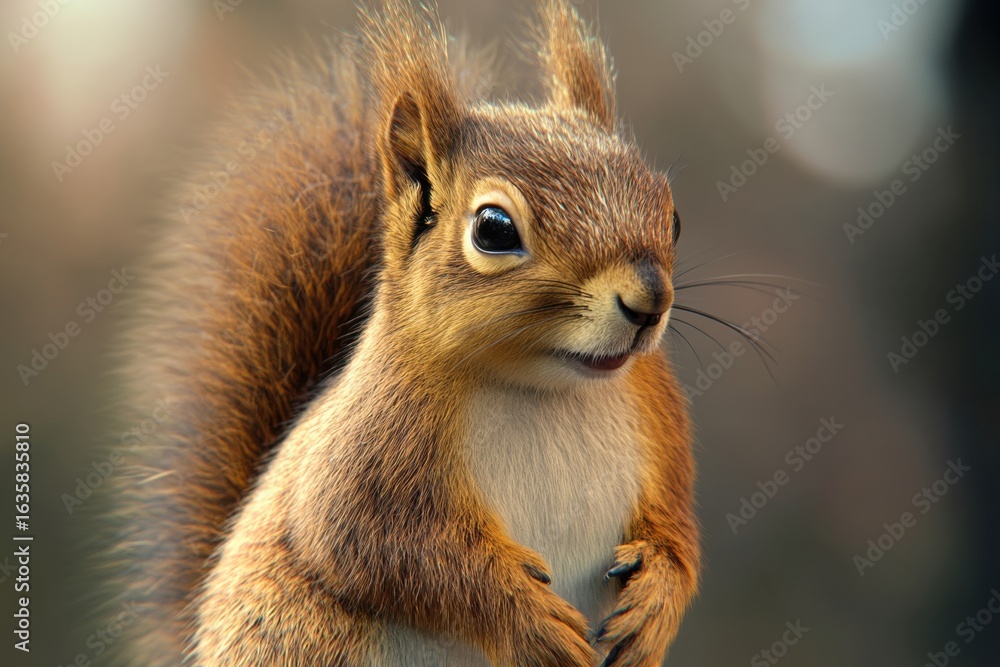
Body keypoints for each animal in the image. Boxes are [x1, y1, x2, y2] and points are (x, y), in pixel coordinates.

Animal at [114, 1, 699, 665]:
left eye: (672, 216)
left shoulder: (661, 424)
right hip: (308, 636)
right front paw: (527, 619)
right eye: (494, 229)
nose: (649, 302)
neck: (547, 390)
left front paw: (656, 597)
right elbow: (384, 550)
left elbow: (677, 534)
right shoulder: (368, 450)